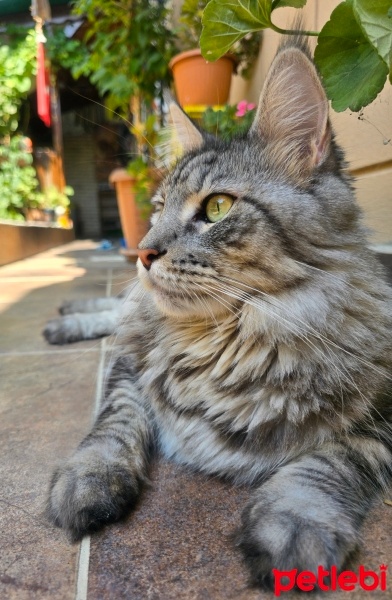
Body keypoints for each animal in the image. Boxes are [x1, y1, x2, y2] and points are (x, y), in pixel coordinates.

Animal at [46, 42, 392, 592]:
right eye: (158, 207)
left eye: (217, 207)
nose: (142, 251)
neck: (223, 343)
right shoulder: (129, 365)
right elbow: (114, 419)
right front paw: (89, 478)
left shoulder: (382, 416)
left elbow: (333, 459)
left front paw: (294, 522)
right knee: (118, 310)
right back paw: (65, 318)